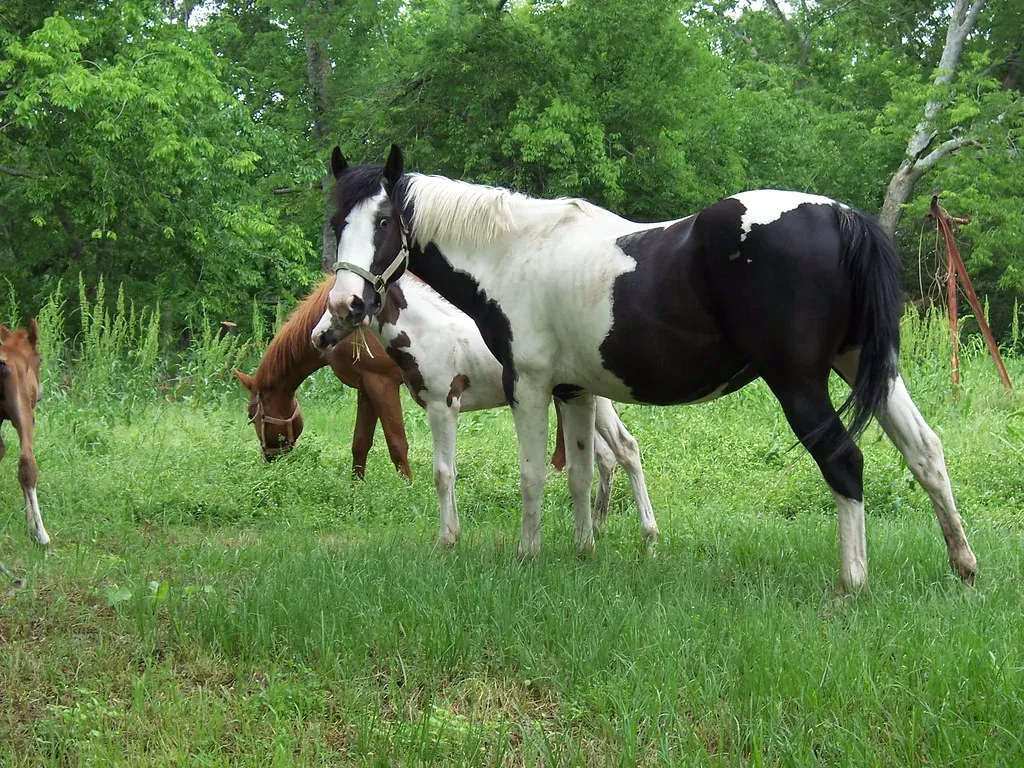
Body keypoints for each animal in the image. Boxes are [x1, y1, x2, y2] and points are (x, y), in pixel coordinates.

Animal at [234, 277, 412, 478]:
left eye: (251, 414)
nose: (268, 458)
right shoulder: (366, 385)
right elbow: (360, 443)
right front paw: (356, 485)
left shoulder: (382, 382)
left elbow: (397, 445)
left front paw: (408, 486)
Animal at [311, 272, 659, 549]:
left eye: (348, 306)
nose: (318, 337)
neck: (429, 334)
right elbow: (451, 470)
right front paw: (455, 534)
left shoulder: (443, 406)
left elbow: (443, 473)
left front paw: (446, 541)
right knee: (613, 452)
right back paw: (602, 527)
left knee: (625, 448)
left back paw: (648, 535)